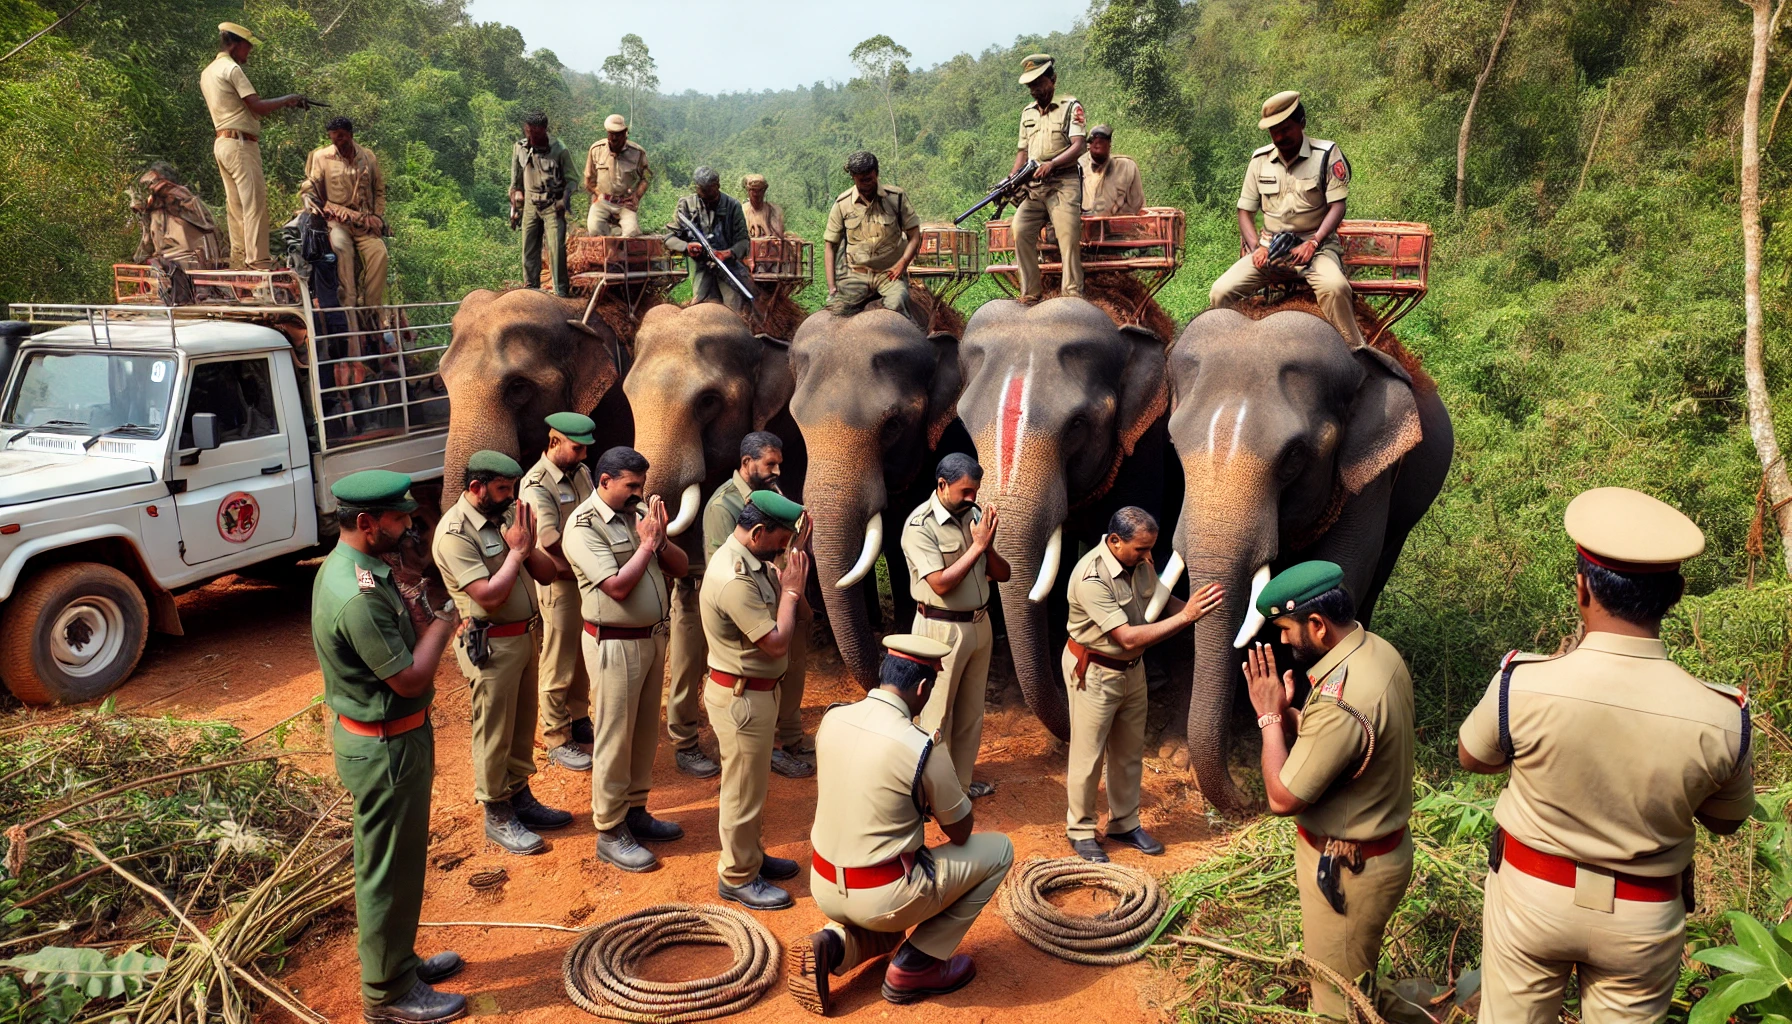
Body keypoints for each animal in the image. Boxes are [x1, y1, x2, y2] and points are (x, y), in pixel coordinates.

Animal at [1167, 306, 1453, 812]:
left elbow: (1346, 567)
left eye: (1294, 457)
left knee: (1377, 572)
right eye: (1175, 446)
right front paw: (1180, 755)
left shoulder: (1371, 477)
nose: (1248, 796)